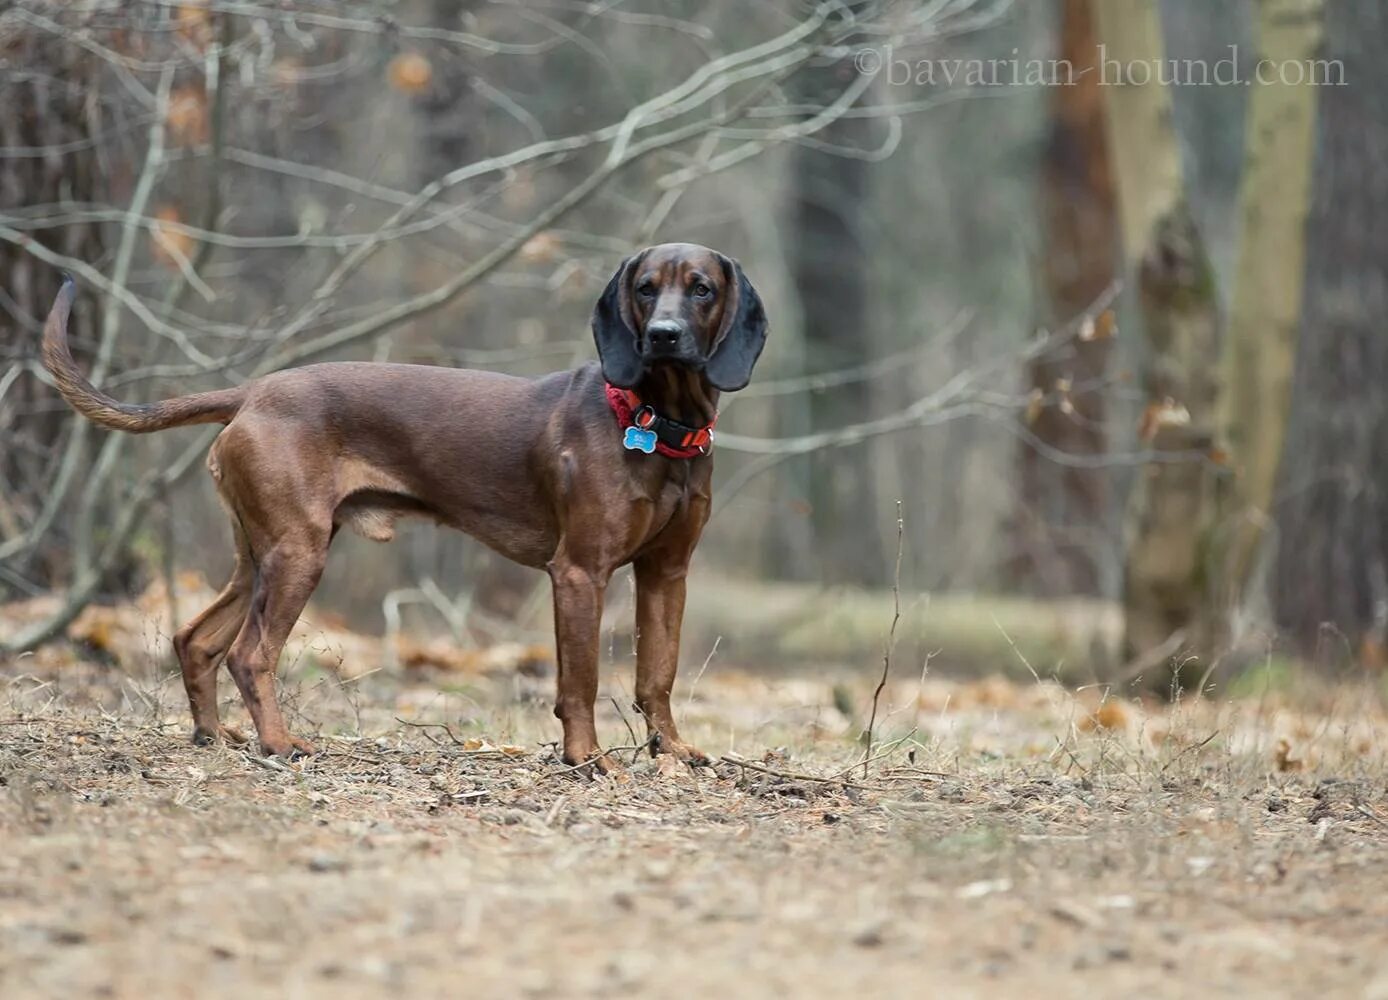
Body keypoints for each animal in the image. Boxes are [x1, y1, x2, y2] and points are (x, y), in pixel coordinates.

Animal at [40, 245, 771, 772]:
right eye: (645, 288)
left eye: (701, 289)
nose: (664, 335)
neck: (656, 424)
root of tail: (251, 393)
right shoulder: (579, 573)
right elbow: (581, 681)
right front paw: (587, 759)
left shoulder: (666, 574)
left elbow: (658, 675)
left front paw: (672, 750)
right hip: (298, 554)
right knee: (250, 654)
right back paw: (279, 744)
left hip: (260, 555)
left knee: (197, 640)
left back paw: (212, 737)